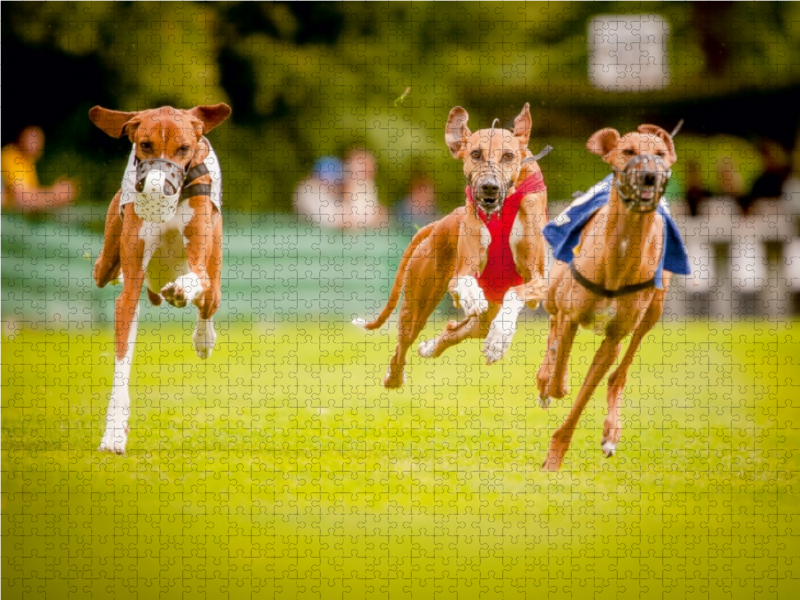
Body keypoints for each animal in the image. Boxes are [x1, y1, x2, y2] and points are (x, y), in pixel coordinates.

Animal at [92, 104, 233, 454]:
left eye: (183, 148)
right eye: (145, 145)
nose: (159, 187)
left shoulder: (201, 264)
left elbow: (197, 281)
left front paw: (181, 291)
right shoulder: (130, 289)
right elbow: (121, 365)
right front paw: (114, 433)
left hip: (214, 273)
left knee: (208, 303)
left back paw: (203, 338)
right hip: (109, 258)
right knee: (104, 271)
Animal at [354, 103, 552, 390]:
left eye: (508, 156)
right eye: (476, 154)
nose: (489, 186)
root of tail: (439, 223)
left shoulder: (539, 280)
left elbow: (516, 293)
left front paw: (500, 338)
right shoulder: (463, 270)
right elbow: (464, 282)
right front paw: (471, 297)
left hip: (483, 316)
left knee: (461, 329)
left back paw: (433, 346)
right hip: (418, 302)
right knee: (404, 342)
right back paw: (396, 375)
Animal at [536, 124, 692, 472]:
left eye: (660, 154)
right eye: (628, 151)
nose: (649, 176)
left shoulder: (613, 338)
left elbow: (587, 391)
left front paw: (557, 453)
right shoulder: (571, 313)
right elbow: (559, 373)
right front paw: (553, 383)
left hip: (653, 311)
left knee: (619, 373)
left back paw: (611, 432)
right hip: (554, 290)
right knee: (553, 327)